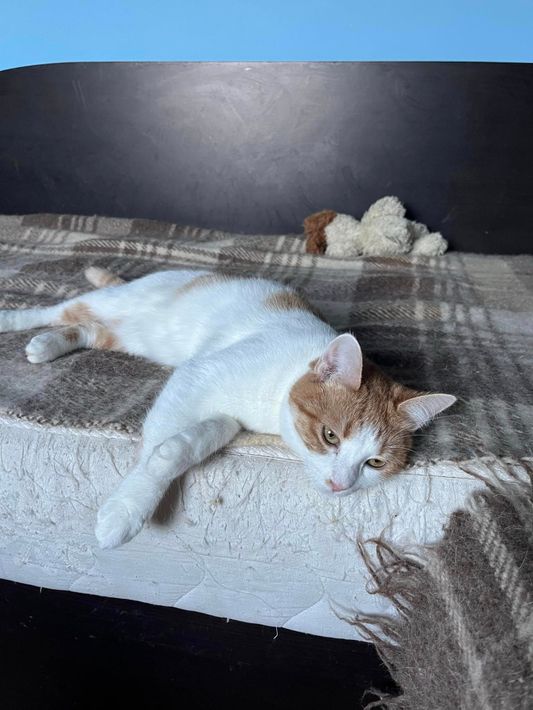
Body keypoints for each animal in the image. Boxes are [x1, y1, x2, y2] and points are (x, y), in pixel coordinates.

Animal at [0, 267, 455, 548]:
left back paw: (50, 344)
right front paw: (127, 508)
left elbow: (193, 439)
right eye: (330, 436)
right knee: (58, 309)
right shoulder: (195, 376)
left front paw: (173, 454)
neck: (279, 387)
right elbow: (156, 451)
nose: (341, 485)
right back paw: (15, 320)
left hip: (127, 337)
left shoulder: (225, 416)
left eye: (375, 463)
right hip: (117, 300)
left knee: (85, 328)